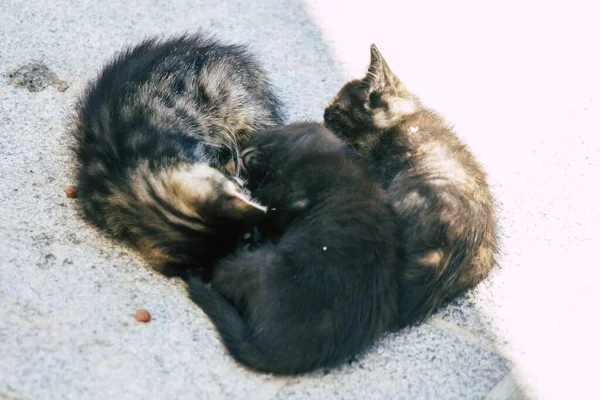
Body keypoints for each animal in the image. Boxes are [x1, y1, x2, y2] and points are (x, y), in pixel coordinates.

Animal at [188, 122, 398, 376]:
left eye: (266, 139)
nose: (239, 155)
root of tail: (272, 351)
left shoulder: (296, 191)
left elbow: (268, 199)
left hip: (256, 264)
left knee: (221, 277)